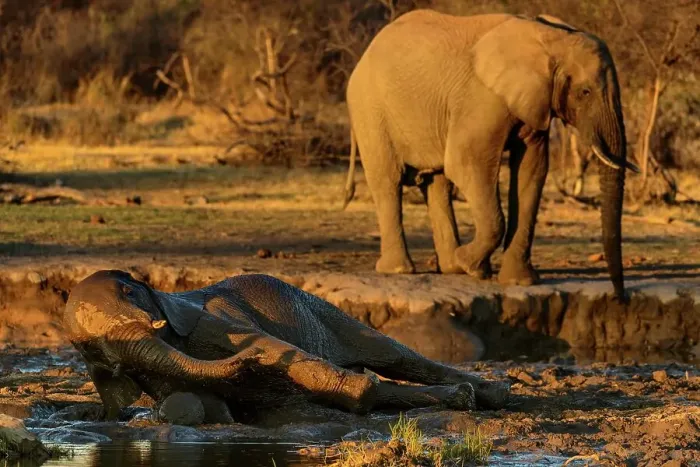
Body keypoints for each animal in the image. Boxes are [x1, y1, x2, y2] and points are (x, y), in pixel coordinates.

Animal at [63, 270, 510, 423]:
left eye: (129, 293)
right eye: (97, 352)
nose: (248, 363)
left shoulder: (210, 321)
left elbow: (271, 345)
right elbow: (188, 404)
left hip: (325, 311)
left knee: (393, 356)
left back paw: (493, 394)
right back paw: (462, 398)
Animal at [342, 10, 639, 300]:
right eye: (584, 92)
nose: (620, 296)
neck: (552, 38)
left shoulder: (533, 104)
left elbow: (532, 170)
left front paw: (518, 281)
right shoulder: (481, 99)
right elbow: (465, 163)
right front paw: (472, 266)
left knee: (437, 184)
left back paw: (452, 267)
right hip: (370, 110)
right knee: (388, 181)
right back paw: (400, 270)